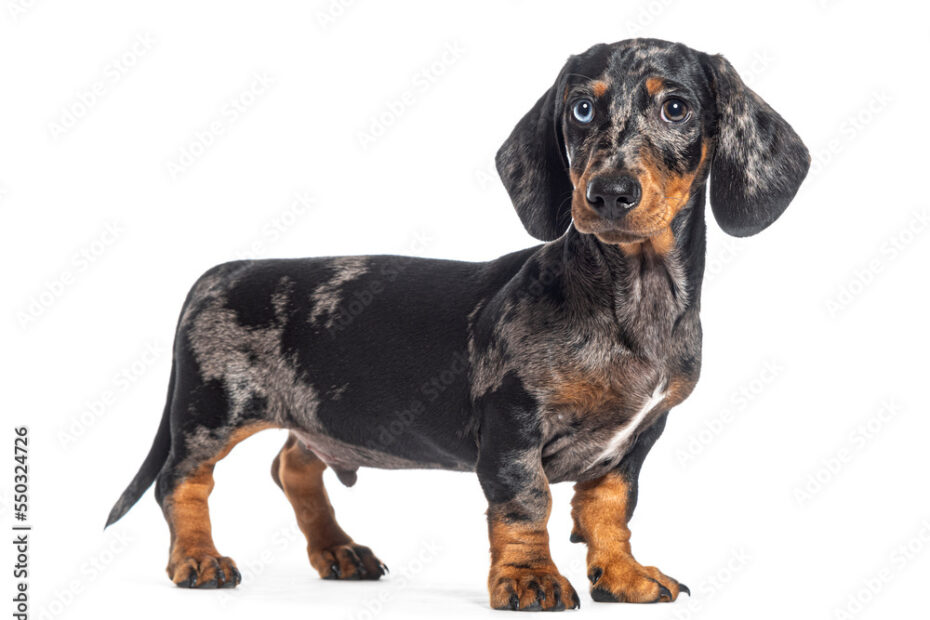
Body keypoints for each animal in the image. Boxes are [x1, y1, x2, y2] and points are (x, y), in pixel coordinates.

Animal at [105, 38, 808, 612]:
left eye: (676, 108)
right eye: (582, 109)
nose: (608, 193)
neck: (630, 298)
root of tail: (222, 271)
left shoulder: (638, 438)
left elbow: (609, 509)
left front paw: (623, 575)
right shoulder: (513, 423)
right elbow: (527, 504)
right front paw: (530, 579)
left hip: (318, 413)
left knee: (294, 466)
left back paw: (338, 551)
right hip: (210, 410)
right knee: (182, 481)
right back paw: (198, 559)